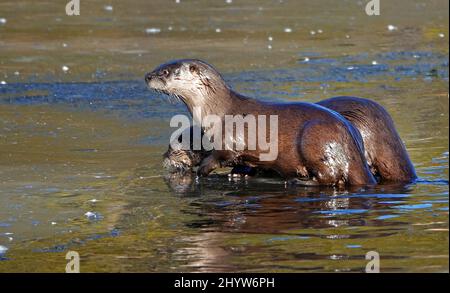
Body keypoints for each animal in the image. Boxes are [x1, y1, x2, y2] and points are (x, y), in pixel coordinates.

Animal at [147, 59, 376, 186]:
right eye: (160, 67)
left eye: (165, 72)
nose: (147, 76)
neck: (215, 111)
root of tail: (352, 146)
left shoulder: (229, 140)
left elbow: (221, 157)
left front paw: (201, 170)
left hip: (315, 139)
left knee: (329, 176)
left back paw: (299, 181)